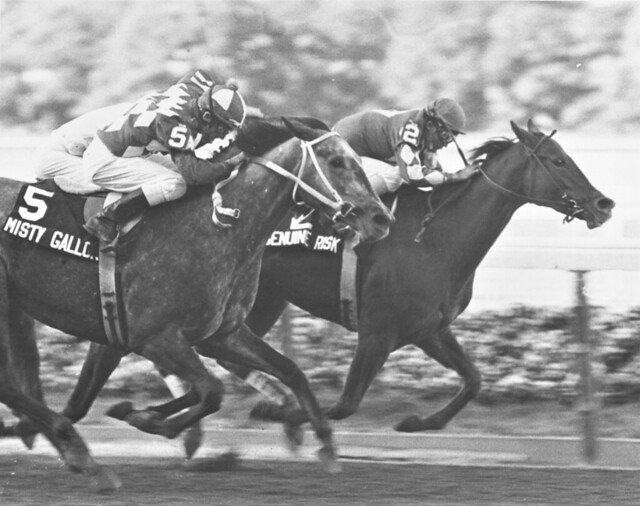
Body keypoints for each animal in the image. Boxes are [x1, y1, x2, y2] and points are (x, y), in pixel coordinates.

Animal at [0, 116, 390, 488]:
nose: (381, 218)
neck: (216, 227)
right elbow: (212, 390)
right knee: (10, 387)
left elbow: (290, 369)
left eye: (358, 160)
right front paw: (148, 419)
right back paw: (83, 456)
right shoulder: (154, 336)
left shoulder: (218, 334)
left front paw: (326, 443)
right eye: (336, 161)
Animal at [32, 119, 616, 450]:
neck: (435, 238)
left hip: (255, 305)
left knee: (210, 361)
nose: (604, 203)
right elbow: (345, 404)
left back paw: (161, 416)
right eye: (558, 160)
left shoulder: (429, 329)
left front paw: (415, 423)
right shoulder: (378, 332)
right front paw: (283, 414)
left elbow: (473, 381)